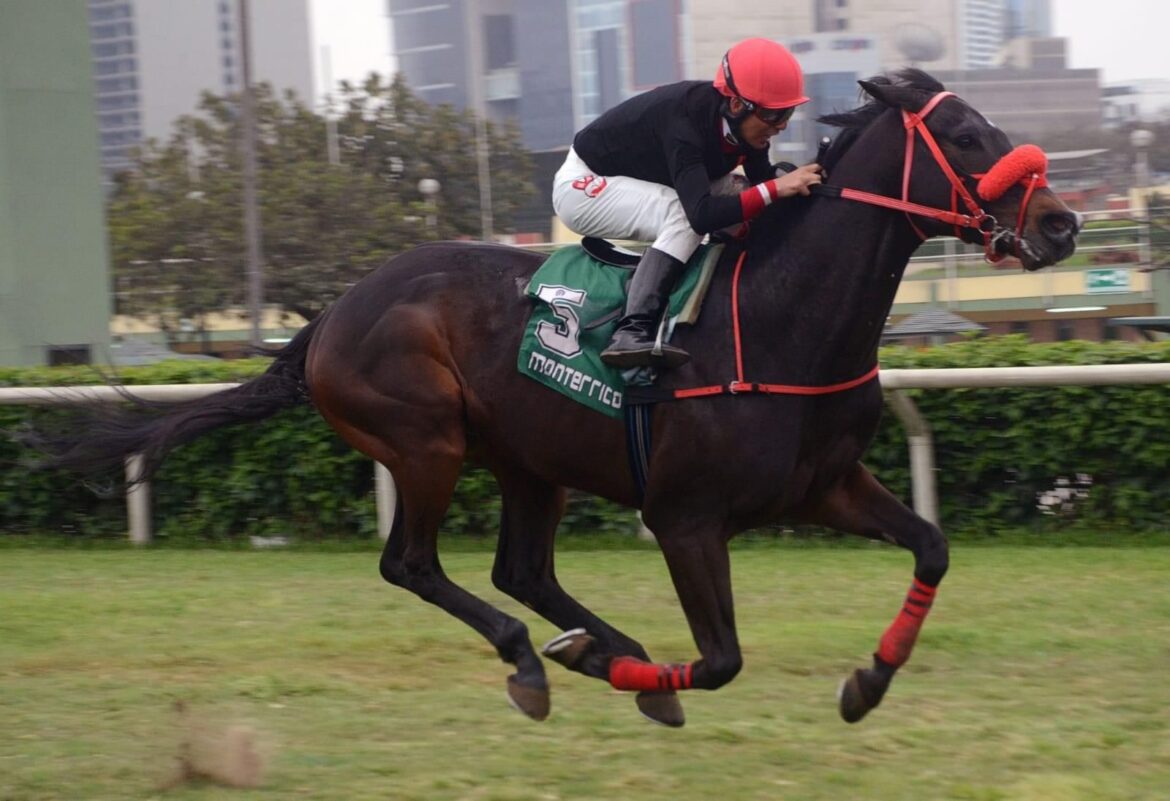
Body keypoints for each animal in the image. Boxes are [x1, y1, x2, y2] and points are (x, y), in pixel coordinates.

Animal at [36, 71, 1076, 729]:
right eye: (966, 136)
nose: (1062, 223)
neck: (777, 317)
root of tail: (331, 315)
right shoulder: (684, 516)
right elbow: (725, 657)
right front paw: (622, 668)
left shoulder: (824, 485)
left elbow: (932, 547)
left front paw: (868, 679)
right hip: (426, 441)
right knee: (415, 565)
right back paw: (542, 658)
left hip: (531, 463)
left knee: (523, 572)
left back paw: (596, 651)